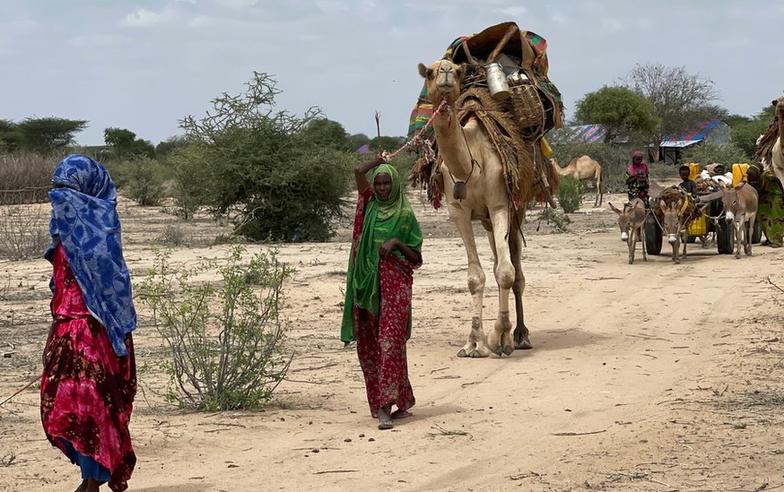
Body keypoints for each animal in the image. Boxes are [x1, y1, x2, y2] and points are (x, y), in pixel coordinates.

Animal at [416, 58, 540, 358]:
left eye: (457, 70)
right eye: (430, 72)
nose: (446, 72)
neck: (470, 163)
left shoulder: (499, 205)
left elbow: (506, 273)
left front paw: (501, 338)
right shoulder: (458, 212)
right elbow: (476, 276)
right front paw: (474, 342)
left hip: (515, 209)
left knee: (515, 270)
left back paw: (520, 335)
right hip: (486, 222)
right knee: (497, 261)